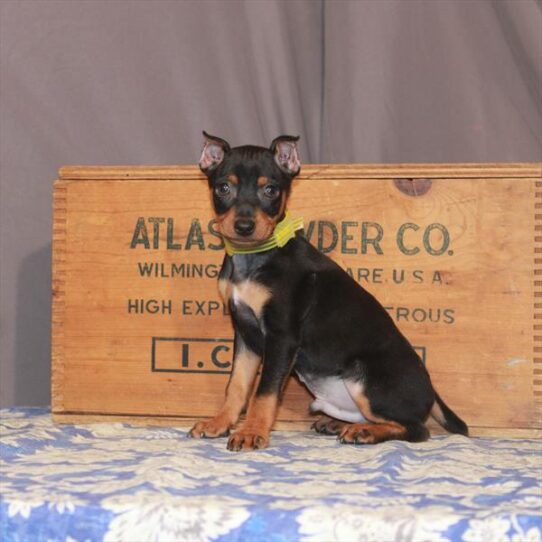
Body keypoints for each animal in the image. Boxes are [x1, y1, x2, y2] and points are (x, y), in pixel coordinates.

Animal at [189, 134, 470, 452]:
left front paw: (251, 432)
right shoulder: (246, 334)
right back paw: (340, 424)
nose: (244, 226)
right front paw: (219, 423)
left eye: (270, 190)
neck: (253, 258)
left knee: (417, 429)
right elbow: (236, 385)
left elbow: (264, 392)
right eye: (223, 187)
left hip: (365, 378)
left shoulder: (281, 336)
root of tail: (432, 392)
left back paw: (365, 432)